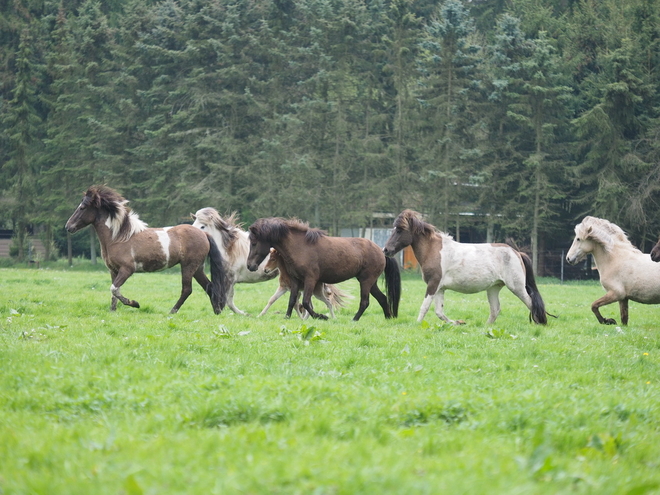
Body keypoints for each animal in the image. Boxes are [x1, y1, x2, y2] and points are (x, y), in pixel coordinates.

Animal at [65, 186, 228, 314]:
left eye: (82, 207)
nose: (68, 226)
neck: (118, 237)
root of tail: (204, 234)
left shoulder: (127, 269)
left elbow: (114, 289)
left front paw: (135, 304)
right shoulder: (113, 270)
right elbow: (114, 292)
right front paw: (112, 311)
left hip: (188, 266)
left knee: (187, 289)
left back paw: (172, 311)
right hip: (197, 268)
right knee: (209, 286)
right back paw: (217, 311)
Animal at [248, 218, 402, 322]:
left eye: (254, 242)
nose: (250, 266)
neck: (300, 247)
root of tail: (381, 250)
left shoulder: (310, 279)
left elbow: (306, 302)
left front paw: (321, 317)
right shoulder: (295, 280)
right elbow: (292, 300)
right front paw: (287, 317)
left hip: (366, 281)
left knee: (365, 302)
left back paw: (354, 319)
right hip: (371, 282)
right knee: (382, 298)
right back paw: (388, 318)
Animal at [382, 209, 548, 326]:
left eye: (399, 230)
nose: (386, 250)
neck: (433, 250)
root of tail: (517, 253)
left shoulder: (433, 285)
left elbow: (425, 307)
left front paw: (417, 324)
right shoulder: (440, 288)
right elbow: (439, 312)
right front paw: (458, 322)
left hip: (517, 287)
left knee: (530, 303)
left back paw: (538, 323)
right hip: (493, 288)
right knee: (495, 309)